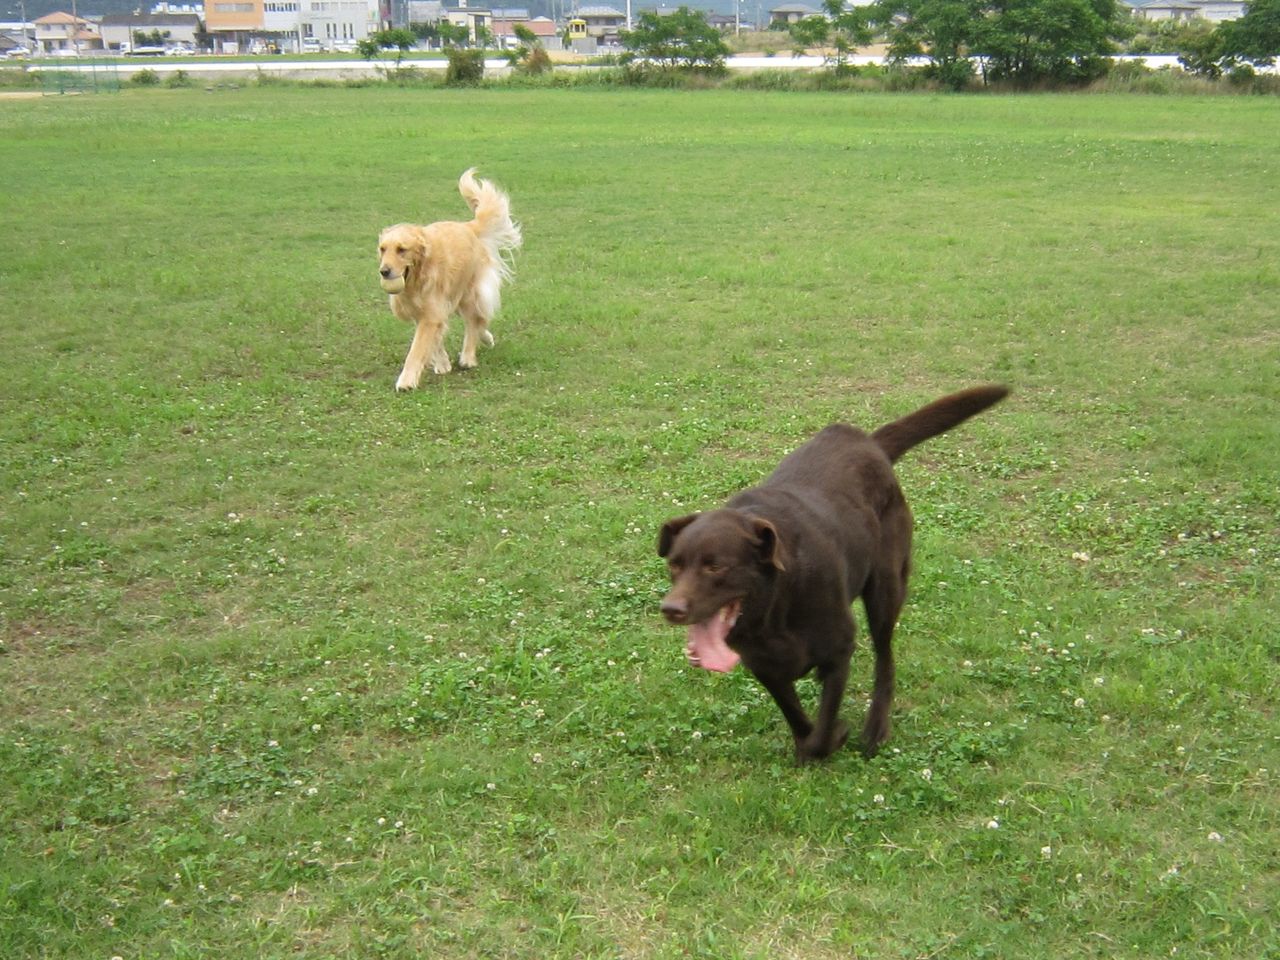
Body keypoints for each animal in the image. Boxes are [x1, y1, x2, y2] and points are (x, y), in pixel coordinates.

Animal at [377, 168, 522, 390]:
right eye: (382, 249)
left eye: (402, 250)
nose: (384, 271)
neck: (418, 277)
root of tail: (469, 227)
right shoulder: (427, 311)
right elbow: (435, 339)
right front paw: (443, 364)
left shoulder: (431, 313)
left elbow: (417, 349)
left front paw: (407, 380)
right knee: (479, 321)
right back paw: (486, 338)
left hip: (471, 293)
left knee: (474, 321)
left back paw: (468, 357)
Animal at [658, 385, 1008, 764]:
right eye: (674, 565)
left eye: (716, 566)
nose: (671, 609)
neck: (776, 606)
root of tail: (868, 442)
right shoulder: (765, 667)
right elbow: (798, 719)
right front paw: (807, 744)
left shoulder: (840, 650)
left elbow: (823, 728)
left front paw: (834, 736)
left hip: (886, 588)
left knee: (885, 659)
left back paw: (876, 727)